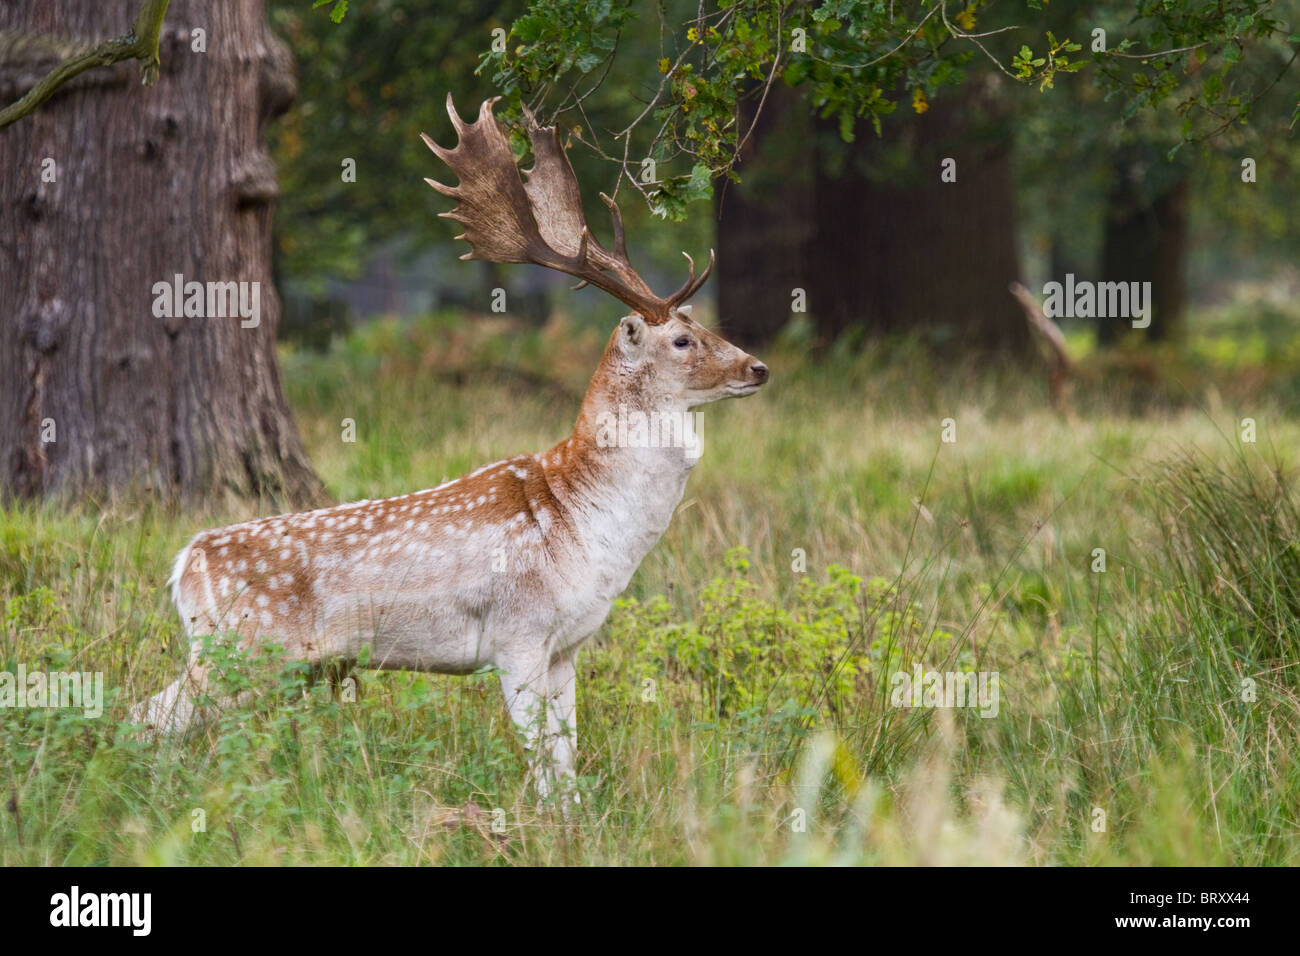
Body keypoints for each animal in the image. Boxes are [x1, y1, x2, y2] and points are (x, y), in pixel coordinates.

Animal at [131, 95, 764, 801]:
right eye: (681, 341)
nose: (758, 367)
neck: (583, 522)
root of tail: (185, 562)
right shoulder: (517, 633)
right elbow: (542, 765)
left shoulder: (567, 646)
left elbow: (567, 764)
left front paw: (578, 817)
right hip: (239, 648)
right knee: (146, 716)